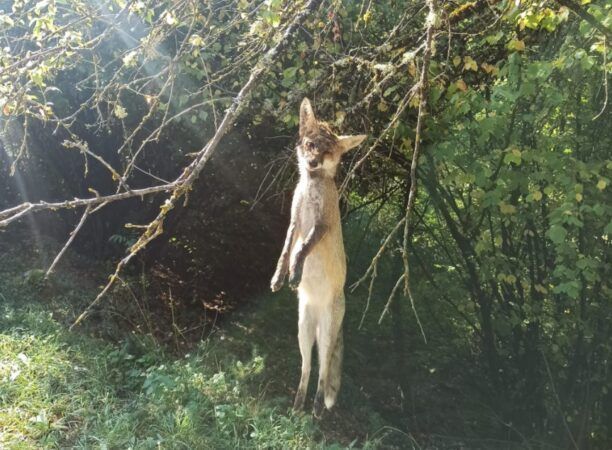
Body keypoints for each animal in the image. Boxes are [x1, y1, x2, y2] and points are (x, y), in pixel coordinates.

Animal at [270, 96, 366, 416]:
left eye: (328, 151)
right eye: (311, 145)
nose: (312, 162)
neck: (312, 186)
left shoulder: (321, 225)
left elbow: (302, 249)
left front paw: (296, 271)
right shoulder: (294, 222)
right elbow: (286, 250)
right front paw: (280, 275)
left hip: (324, 337)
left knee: (323, 373)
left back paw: (316, 408)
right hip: (303, 332)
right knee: (307, 368)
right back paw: (298, 404)